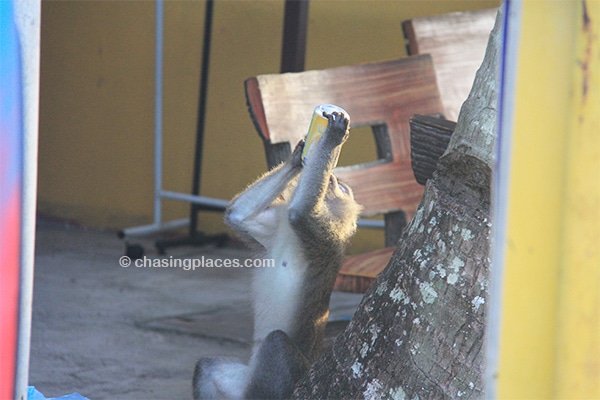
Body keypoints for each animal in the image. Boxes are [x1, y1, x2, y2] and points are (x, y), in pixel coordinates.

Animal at [192, 110, 360, 400]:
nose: (334, 179)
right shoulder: (274, 227)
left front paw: (332, 138)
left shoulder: (324, 236)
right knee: (206, 368)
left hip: (289, 379)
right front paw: (299, 155)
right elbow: (238, 216)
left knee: (276, 342)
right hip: (243, 381)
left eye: (343, 189)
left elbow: (300, 214)